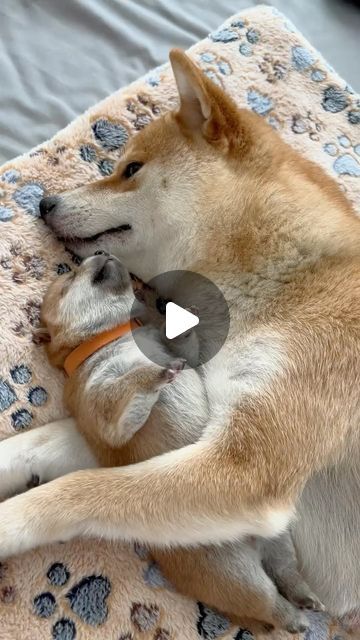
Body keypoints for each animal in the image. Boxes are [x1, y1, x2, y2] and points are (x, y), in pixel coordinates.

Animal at [0, 51, 360, 632]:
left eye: (131, 169)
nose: (45, 201)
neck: (290, 279)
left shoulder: (242, 468)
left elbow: (78, 491)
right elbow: (44, 444)